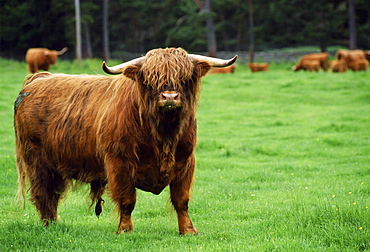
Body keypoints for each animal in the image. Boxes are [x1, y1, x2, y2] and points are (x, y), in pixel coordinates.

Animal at [13, 47, 237, 236]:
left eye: (185, 77)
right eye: (151, 79)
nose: (170, 97)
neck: (163, 136)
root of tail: (39, 78)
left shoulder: (185, 163)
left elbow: (181, 200)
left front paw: (188, 230)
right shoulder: (119, 163)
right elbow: (128, 200)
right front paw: (125, 230)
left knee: (53, 194)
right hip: (38, 162)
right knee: (44, 193)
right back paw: (50, 225)